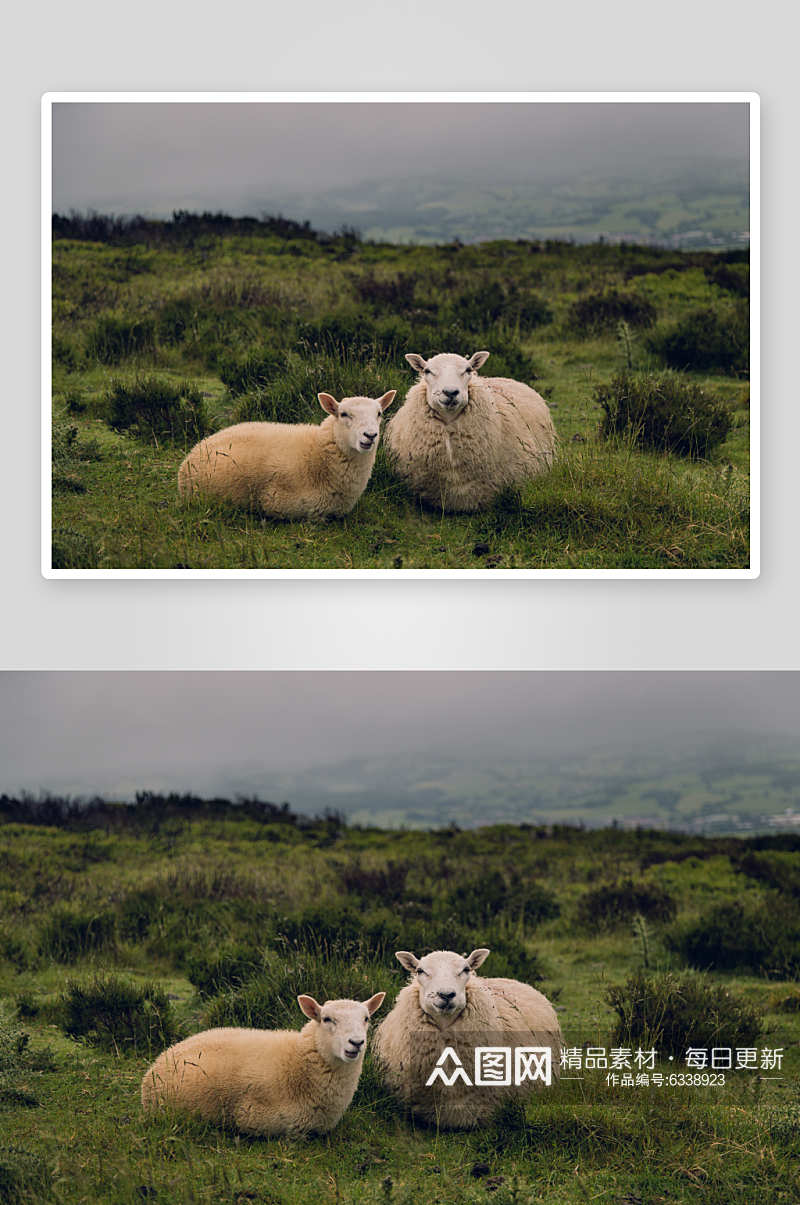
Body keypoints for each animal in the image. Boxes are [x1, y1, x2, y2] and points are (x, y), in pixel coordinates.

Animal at [142, 992, 385, 1142]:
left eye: (366, 1018)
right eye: (327, 1019)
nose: (356, 1042)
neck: (298, 1063)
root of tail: (163, 1057)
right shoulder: (259, 1119)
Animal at [178, 392, 397, 520]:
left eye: (379, 413)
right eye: (344, 414)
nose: (370, 435)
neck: (318, 453)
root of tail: (196, 448)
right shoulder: (283, 504)